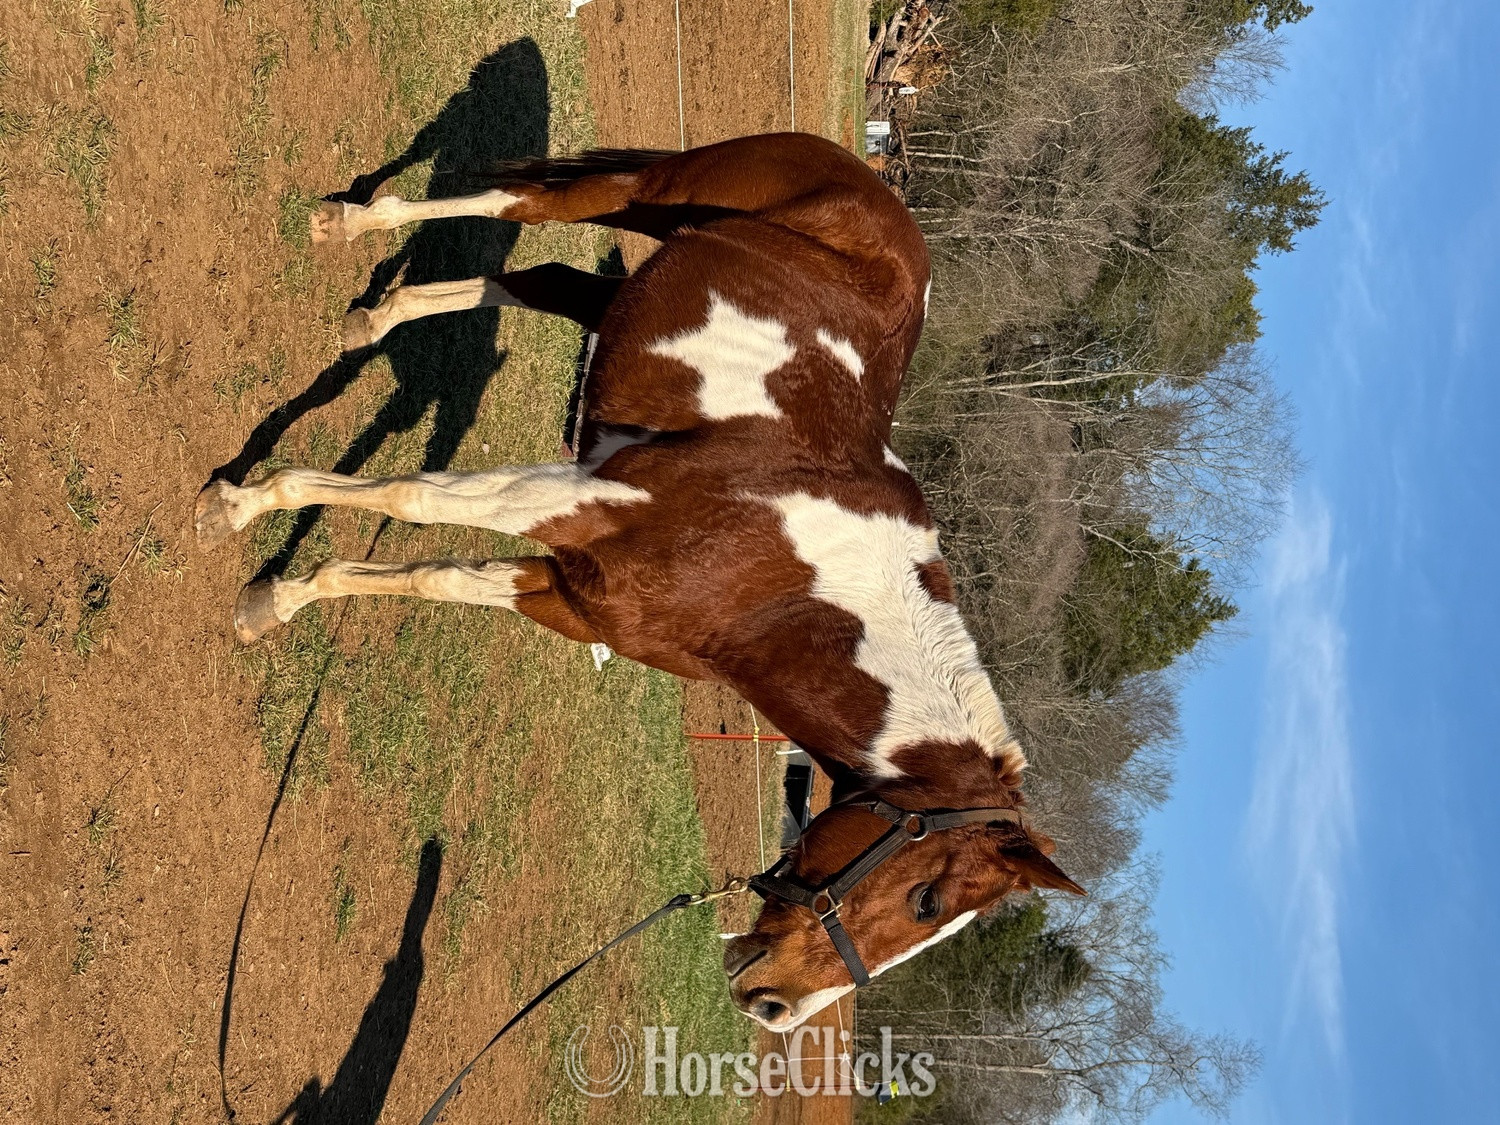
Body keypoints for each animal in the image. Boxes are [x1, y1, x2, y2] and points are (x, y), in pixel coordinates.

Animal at [195, 132, 1083, 1032]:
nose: (775, 1008)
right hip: (641, 194)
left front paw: (280, 595)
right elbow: (409, 496)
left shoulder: (580, 596)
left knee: (544, 280)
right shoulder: (578, 499)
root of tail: (868, 181)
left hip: (621, 291)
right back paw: (351, 223)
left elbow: (435, 576)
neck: (792, 589)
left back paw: (376, 315)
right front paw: (242, 511)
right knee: (522, 208)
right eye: (926, 899)